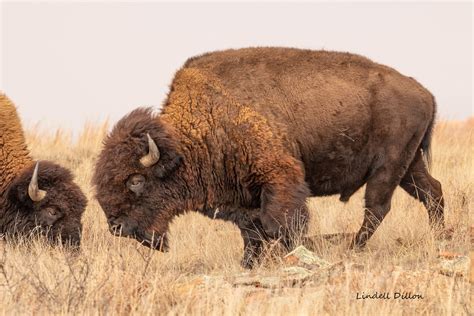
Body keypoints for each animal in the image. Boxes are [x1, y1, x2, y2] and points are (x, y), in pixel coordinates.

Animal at [93, 48, 444, 268]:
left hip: (389, 165)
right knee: (432, 192)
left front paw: (292, 254)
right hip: (409, 165)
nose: (117, 227)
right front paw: (248, 263)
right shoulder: (241, 197)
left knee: (377, 207)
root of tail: (425, 93)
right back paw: (438, 236)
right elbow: (251, 232)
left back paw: (354, 245)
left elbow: (279, 224)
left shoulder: (279, 178)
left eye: (136, 180)